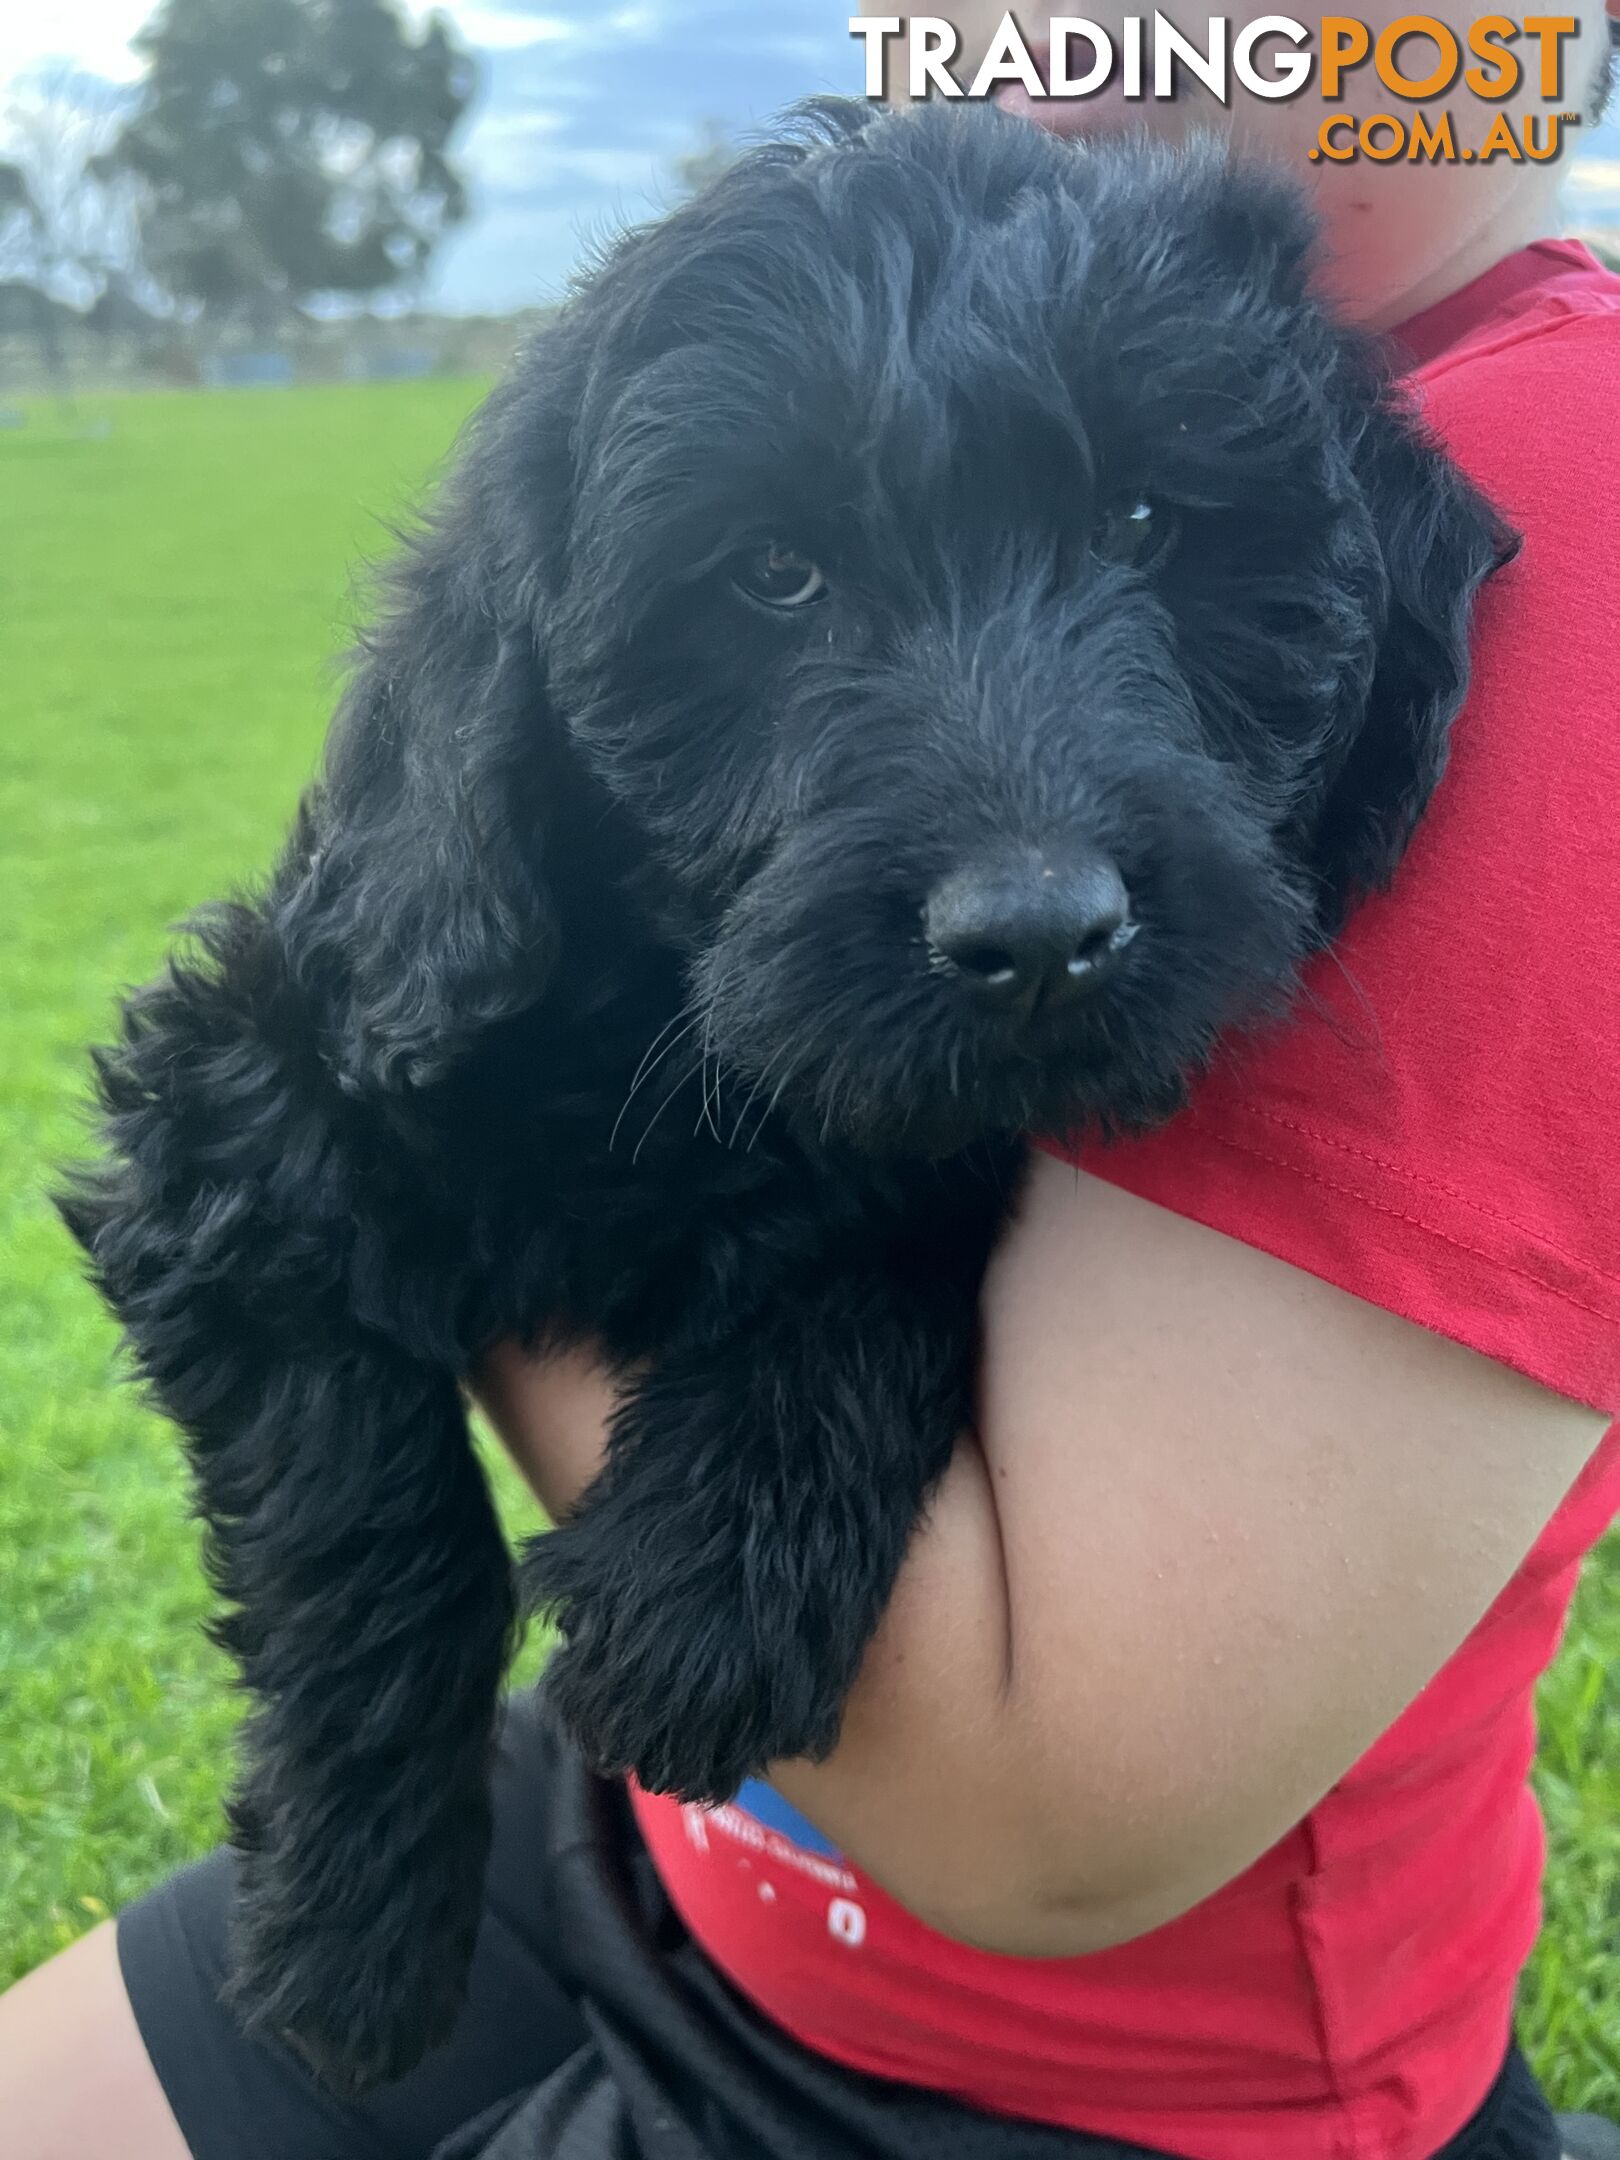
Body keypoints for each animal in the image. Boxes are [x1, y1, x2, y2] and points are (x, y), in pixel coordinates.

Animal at [60, 101, 1512, 2090]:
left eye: (1146, 523)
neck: (660, 1039)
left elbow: (881, 1238)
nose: (1040, 938)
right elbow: (377, 1525)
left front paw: (715, 1578)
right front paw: (350, 1936)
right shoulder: (235, 1105)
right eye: (772, 575)